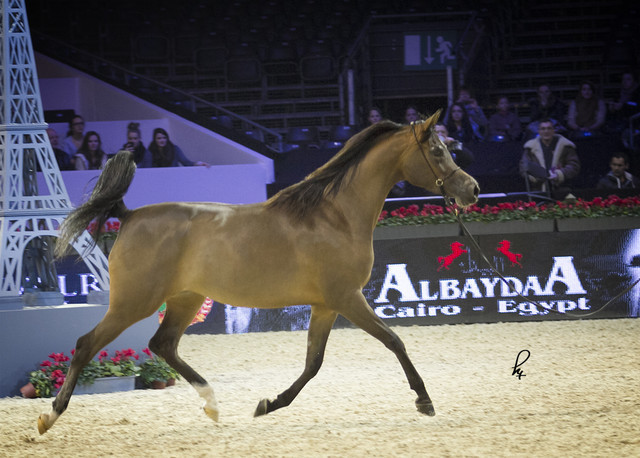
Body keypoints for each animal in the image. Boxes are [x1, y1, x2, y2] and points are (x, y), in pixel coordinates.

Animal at [37, 112, 479, 434]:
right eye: (438, 150)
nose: (472, 189)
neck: (334, 216)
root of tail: (128, 216)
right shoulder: (347, 298)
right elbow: (395, 342)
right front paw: (424, 400)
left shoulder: (326, 305)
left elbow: (313, 363)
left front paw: (268, 404)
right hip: (134, 303)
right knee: (86, 344)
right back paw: (50, 416)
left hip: (185, 299)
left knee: (163, 345)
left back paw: (213, 406)